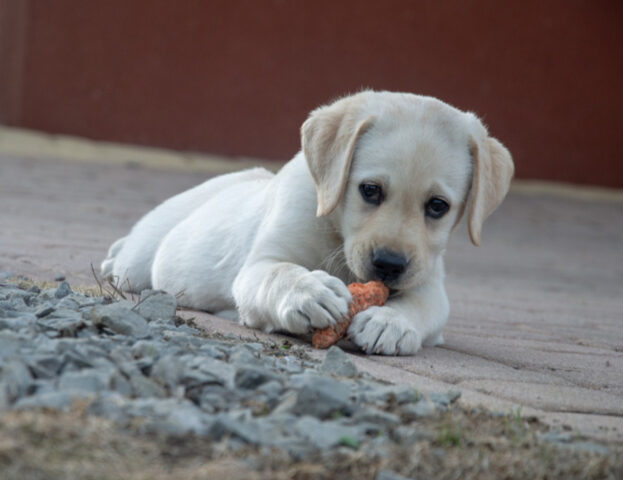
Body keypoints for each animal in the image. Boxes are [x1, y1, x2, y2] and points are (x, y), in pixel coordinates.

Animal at [101, 92, 512, 356]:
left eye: (438, 206)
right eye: (370, 190)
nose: (389, 265)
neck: (336, 233)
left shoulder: (429, 283)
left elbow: (420, 306)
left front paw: (390, 322)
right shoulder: (259, 265)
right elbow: (280, 272)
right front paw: (309, 292)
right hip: (139, 261)